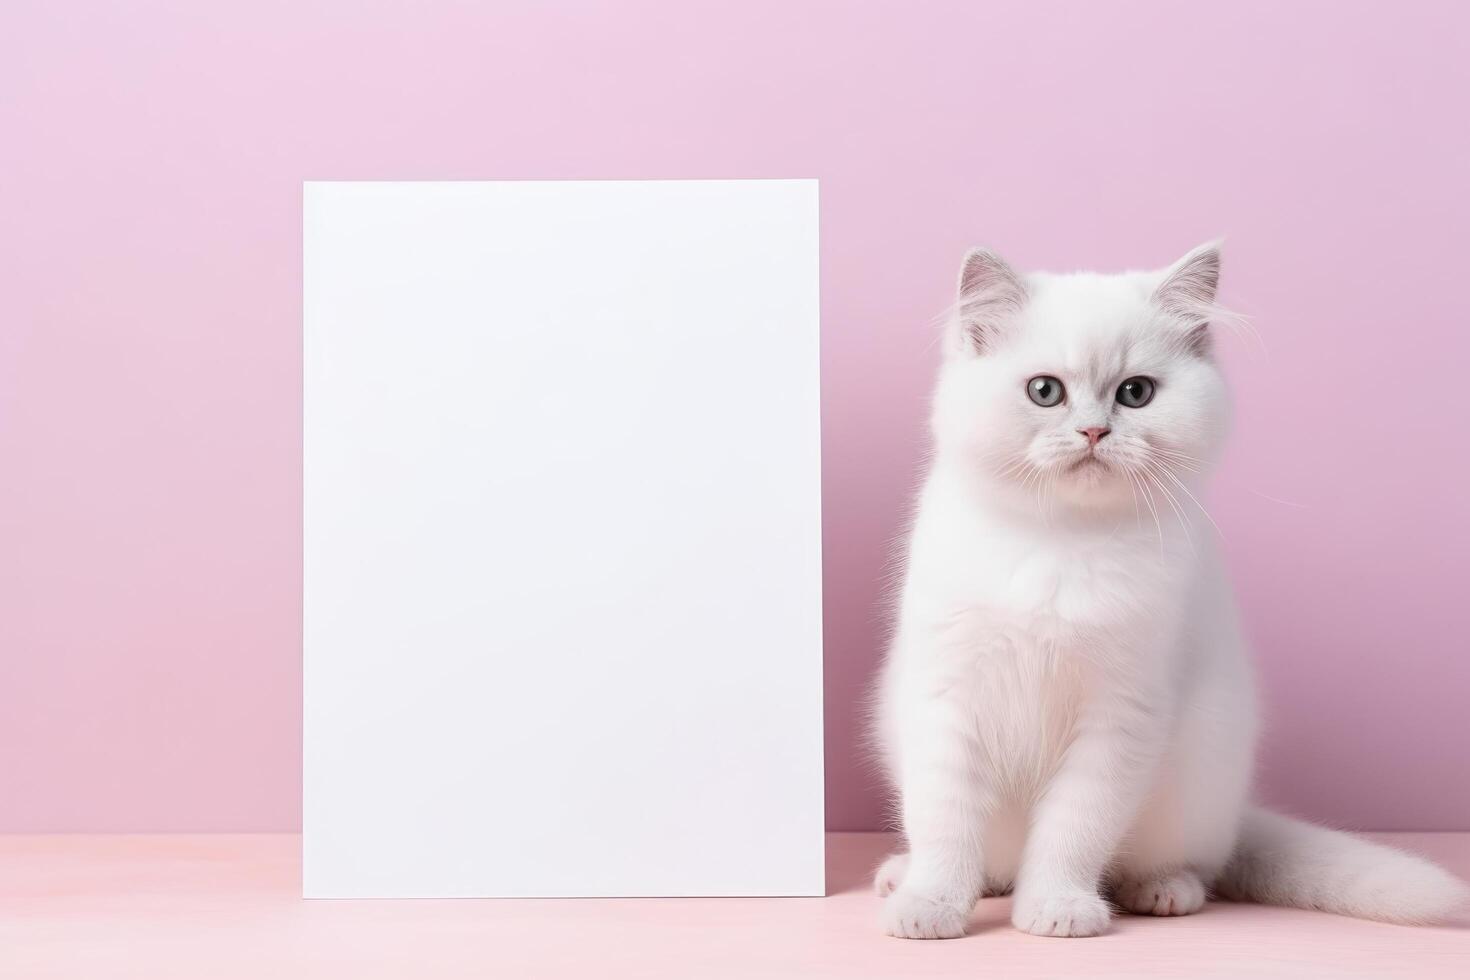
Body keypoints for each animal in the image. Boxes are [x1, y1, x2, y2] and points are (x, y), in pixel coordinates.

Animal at [870, 240, 1470, 940]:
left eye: (1136, 393)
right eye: (1045, 392)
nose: (1094, 432)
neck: (1062, 543)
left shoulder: (1120, 715)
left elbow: (1072, 828)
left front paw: (1058, 906)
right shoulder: (946, 698)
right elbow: (945, 822)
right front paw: (930, 903)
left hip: (1200, 783)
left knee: (1189, 865)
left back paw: (1161, 890)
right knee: (989, 861)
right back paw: (908, 874)